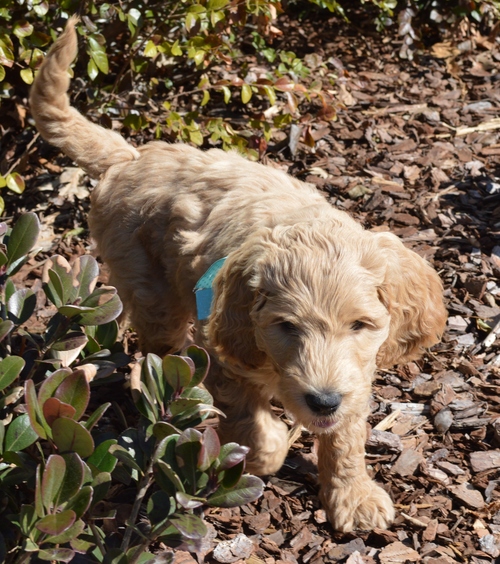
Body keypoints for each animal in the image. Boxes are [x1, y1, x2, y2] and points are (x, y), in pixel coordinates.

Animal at [29, 17, 448, 532]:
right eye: (285, 327)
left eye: (360, 325)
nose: (322, 402)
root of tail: (130, 157)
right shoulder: (222, 353)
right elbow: (249, 420)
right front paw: (265, 453)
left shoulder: (354, 376)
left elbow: (345, 435)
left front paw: (353, 495)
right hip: (152, 289)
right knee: (160, 350)